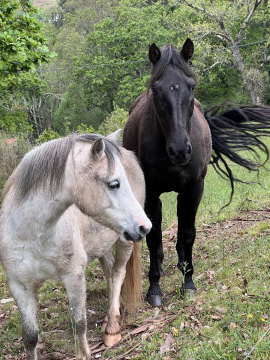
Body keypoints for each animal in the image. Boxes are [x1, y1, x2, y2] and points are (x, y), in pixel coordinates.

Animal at [0, 133, 151, 360]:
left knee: (118, 274)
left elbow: (78, 325)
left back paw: (112, 328)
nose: (145, 226)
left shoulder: (74, 277)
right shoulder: (20, 286)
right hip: (102, 244)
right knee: (109, 271)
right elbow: (30, 336)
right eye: (114, 184)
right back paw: (108, 318)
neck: (32, 234)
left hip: (125, 240)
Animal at [123, 38, 270, 306]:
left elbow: (188, 234)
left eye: (191, 86)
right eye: (156, 90)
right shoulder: (152, 194)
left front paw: (188, 282)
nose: (180, 150)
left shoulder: (193, 189)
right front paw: (154, 288)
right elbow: (154, 238)